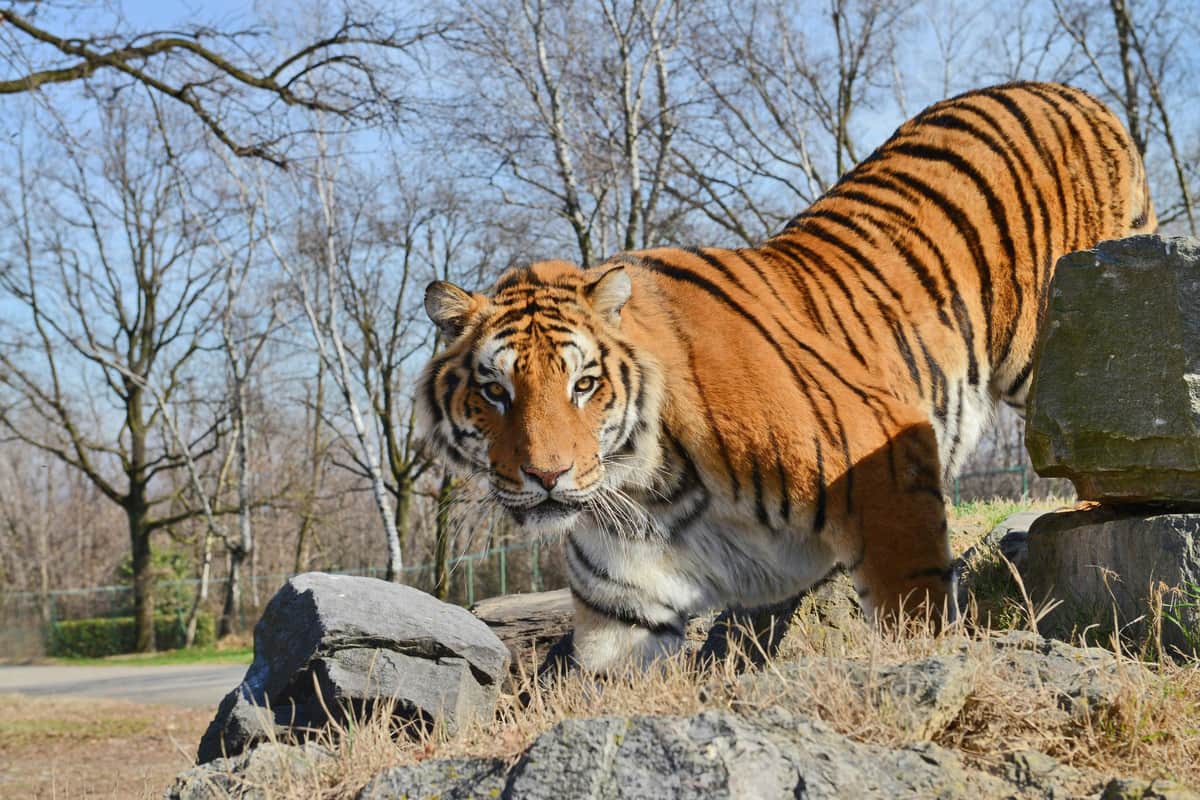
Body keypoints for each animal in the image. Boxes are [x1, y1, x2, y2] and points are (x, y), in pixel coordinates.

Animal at [417, 82, 1155, 672]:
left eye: (583, 385)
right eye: (495, 392)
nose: (547, 476)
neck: (652, 491)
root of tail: (1072, 93)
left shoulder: (889, 462)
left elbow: (911, 615)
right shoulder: (624, 607)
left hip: (1061, 349)